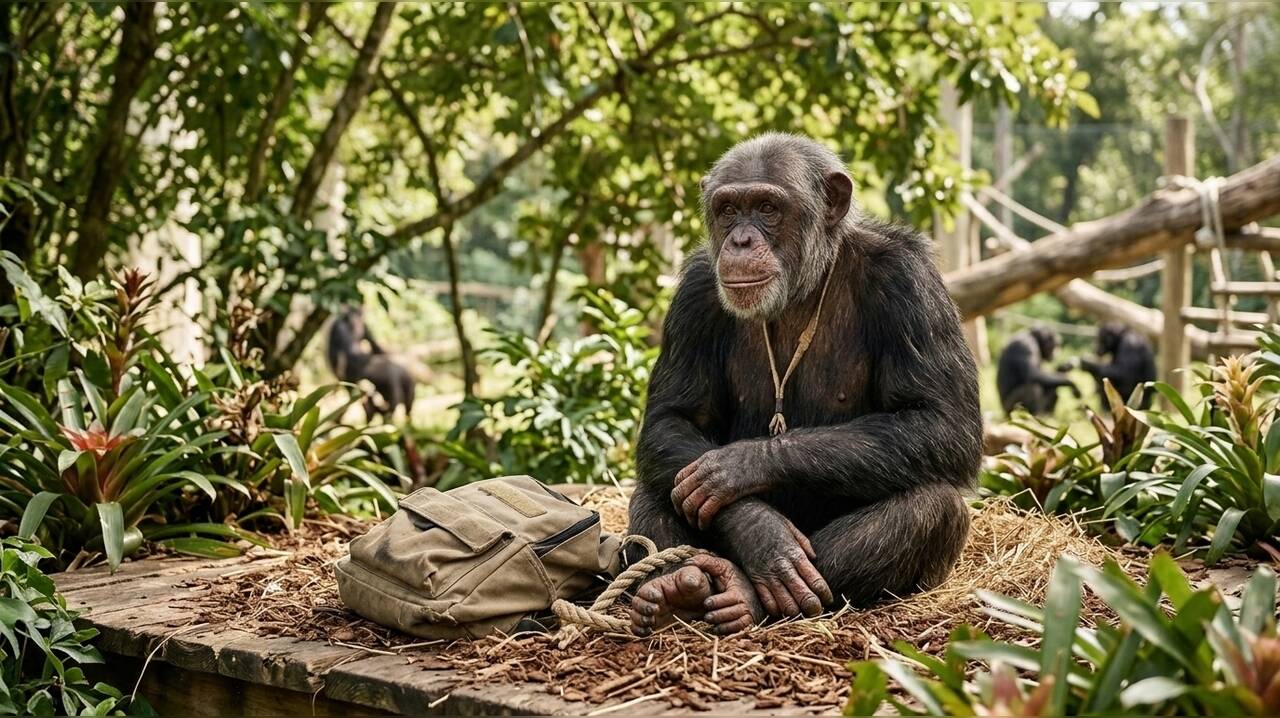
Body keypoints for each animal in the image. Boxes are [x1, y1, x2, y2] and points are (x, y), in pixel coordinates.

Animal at [624, 134, 982, 636]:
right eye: (729, 209)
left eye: (768, 207)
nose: (740, 239)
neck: (801, 288)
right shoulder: (694, 293)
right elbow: (673, 418)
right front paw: (759, 530)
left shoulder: (910, 281)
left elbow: (942, 420)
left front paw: (738, 468)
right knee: (657, 486)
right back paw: (678, 588)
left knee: (934, 506)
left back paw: (744, 596)